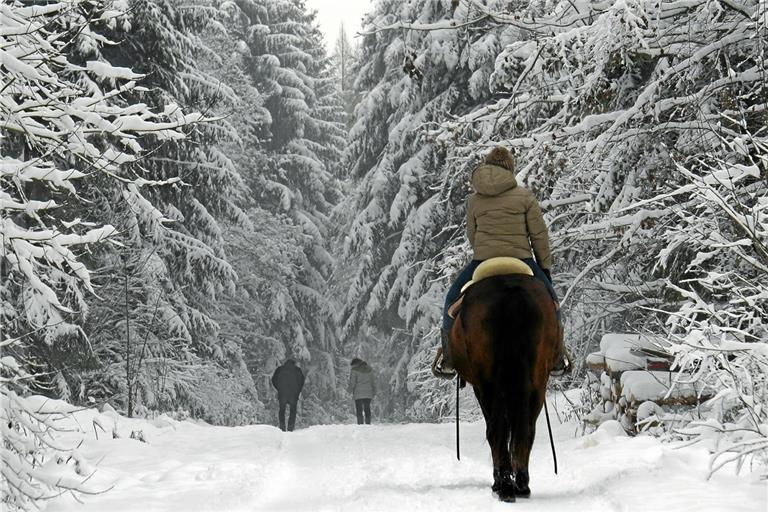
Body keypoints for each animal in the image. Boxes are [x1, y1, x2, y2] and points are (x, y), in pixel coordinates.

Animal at [448, 274, 560, 502]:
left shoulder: (481, 387)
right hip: (537, 382)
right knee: (526, 428)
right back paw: (521, 484)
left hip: (488, 384)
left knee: (496, 430)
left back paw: (504, 485)